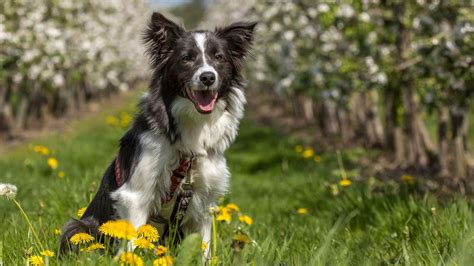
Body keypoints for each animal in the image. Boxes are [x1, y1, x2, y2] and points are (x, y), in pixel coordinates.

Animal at [60, 13, 258, 258]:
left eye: (219, 58)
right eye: (186, 58)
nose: (208, 77)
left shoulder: (204, 199)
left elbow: (203, 248)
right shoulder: (136, 194)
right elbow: (132, 244)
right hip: (77, 227)